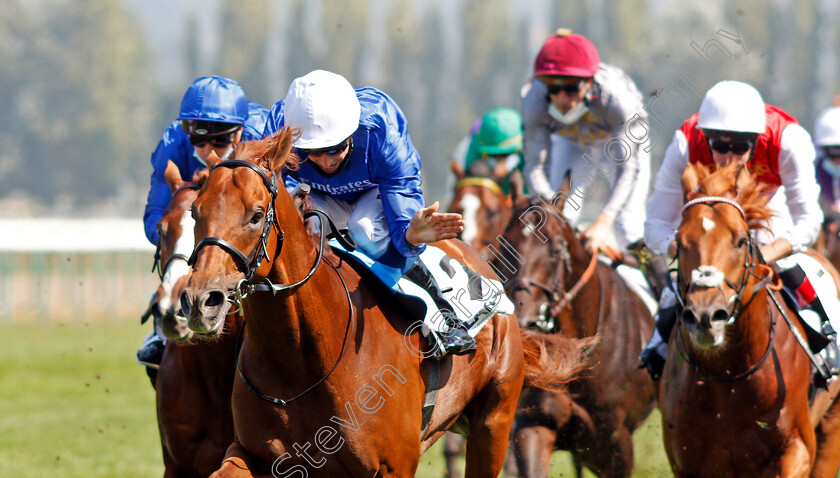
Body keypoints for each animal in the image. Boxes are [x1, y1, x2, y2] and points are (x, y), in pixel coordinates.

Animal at [180, 128, 588, 478]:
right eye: (194, 211)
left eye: (254, 215)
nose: (202, 301)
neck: (300, 359)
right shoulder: (256, 454)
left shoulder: (393, 465)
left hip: (494, 422)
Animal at [660, 162, 840, 478]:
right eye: (679, 243)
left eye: (741, 240)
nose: (706, 317)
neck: (728, 377)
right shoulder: (686, 461)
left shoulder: (797, 448)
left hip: (832, 428)